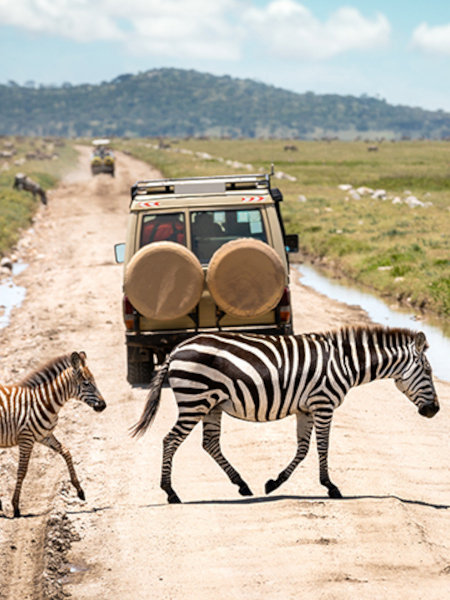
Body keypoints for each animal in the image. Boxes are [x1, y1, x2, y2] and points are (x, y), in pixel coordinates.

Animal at [0, 352, 106, 516]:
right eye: (87, 384)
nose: (103, 405)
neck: (43, 402)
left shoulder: (44, 435)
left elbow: (67, 452)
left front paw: (79, 490)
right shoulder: (26, 438)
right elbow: (22, 471)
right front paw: (16, 507)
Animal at [131, 326, 440, 504]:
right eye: (427, 371)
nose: (435, 410)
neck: (344, 363)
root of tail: (176, 349)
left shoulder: (306, 408)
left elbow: (303, 449)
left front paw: (274, 483)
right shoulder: (323, 403)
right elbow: (323, 447)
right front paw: (331, 487)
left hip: (211, 404)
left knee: (209, 444)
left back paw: (242, 485)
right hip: (195, 400)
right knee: (170, 440)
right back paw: (171, 493)